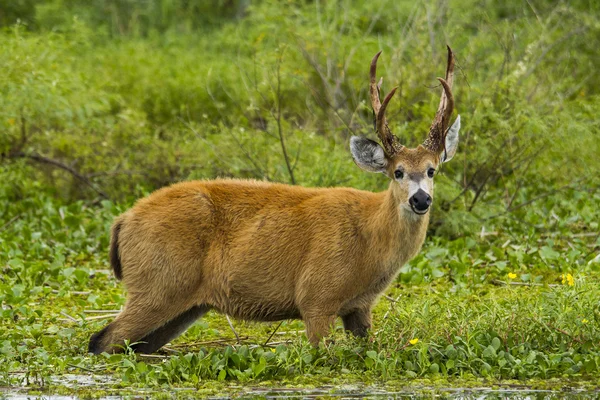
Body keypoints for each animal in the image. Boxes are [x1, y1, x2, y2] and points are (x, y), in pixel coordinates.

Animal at [88, 47, 460, 354]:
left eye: (432, 169)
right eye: (397, 172)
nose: (421, 200)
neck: (369, 239)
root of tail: (122, 222)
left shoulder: (360, 308)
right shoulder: (316, 297)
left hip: (183, 305)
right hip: (158, 284)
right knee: (101, 340)